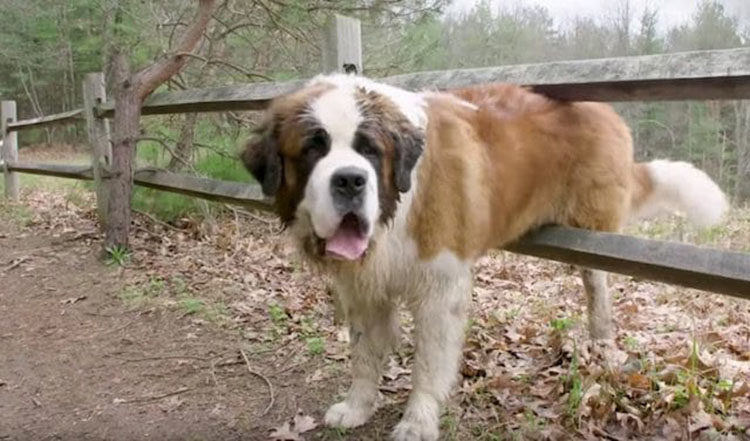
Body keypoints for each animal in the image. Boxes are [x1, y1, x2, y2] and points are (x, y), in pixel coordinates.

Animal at [242, 74, 728, 438]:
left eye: (369, 150)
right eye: (313, 148)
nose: (349, 180)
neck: (396, 207)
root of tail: (607, 112)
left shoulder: (440, 286)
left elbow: (428, 364)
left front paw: (417, 422)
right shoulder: (365, 288)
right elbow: (364, 354)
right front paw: (358, 406)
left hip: (592, 236)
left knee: (598, 287)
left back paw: (602, 343)